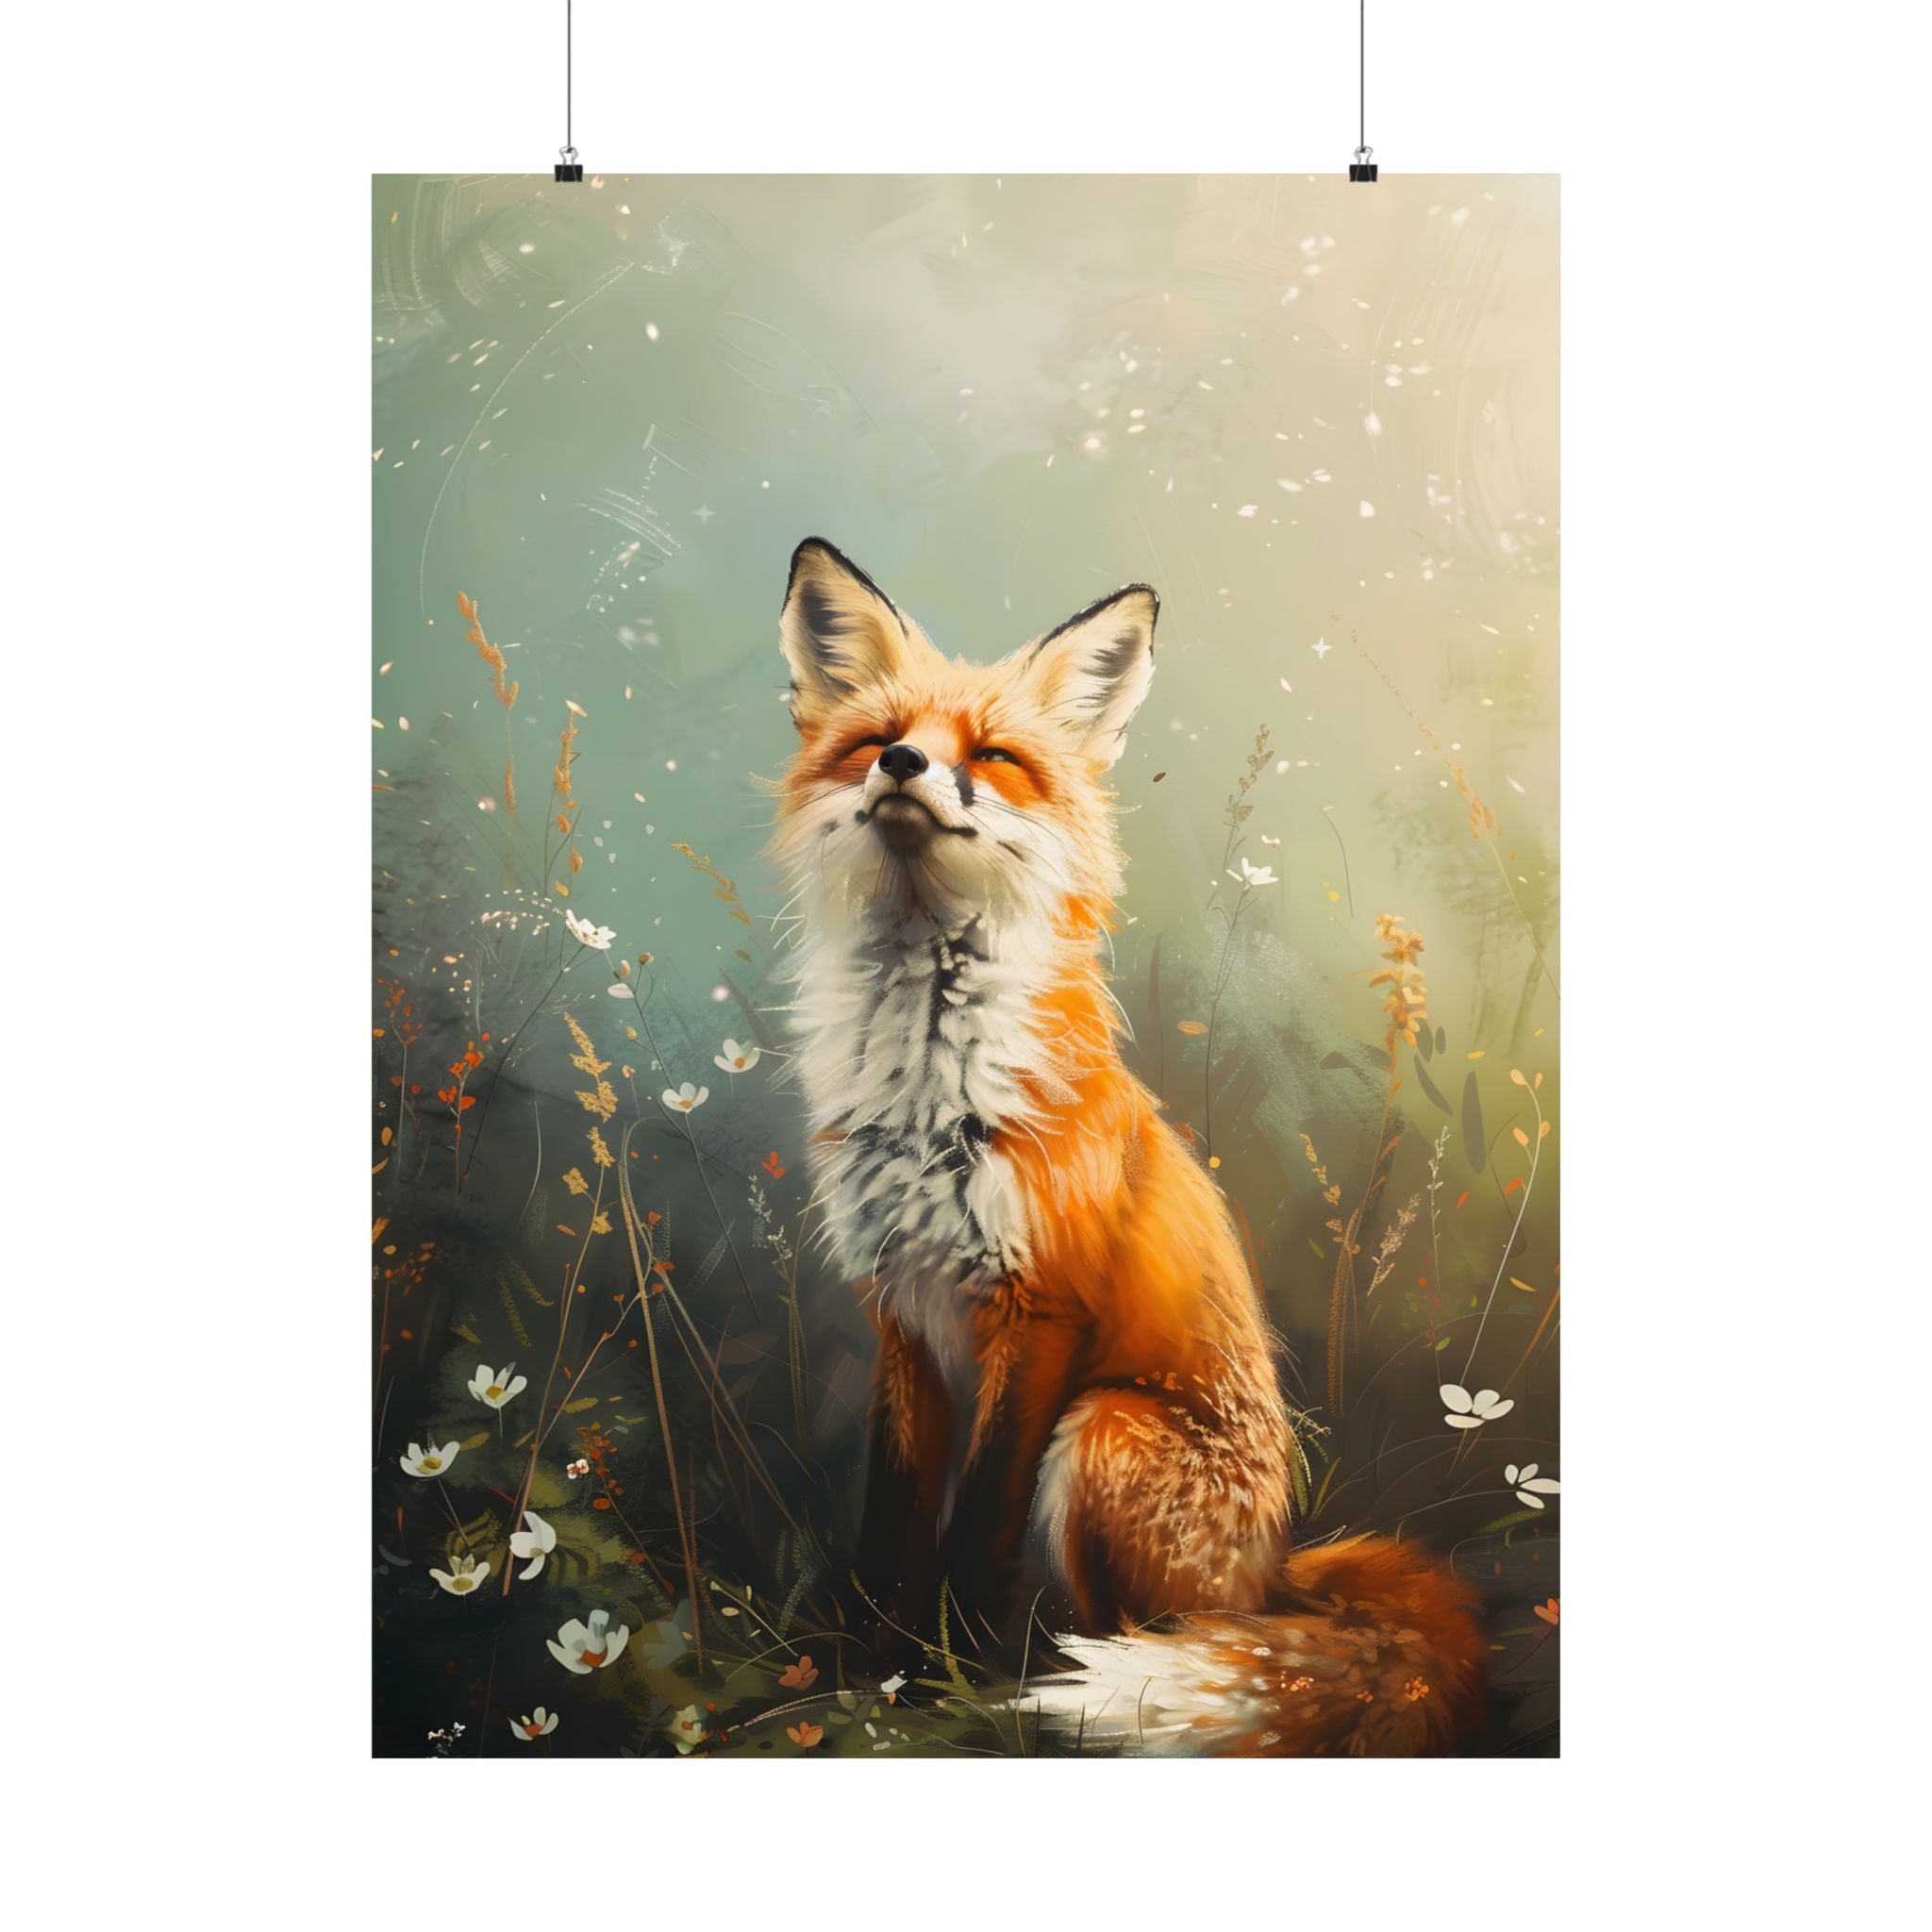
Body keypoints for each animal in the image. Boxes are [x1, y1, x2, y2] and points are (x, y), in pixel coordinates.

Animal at [769, 537, 1485, 1755]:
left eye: (993, 756)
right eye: (877, 739)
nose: (904, 764)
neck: (928, 1078)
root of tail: (1273, 1575)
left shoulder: (1040, 1309)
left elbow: (974, 1530)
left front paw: (943, 1682)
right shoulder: (900, 1309)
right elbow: (891, 1520)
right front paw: (870, 1667)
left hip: (1103, 1429)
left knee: (1156, 1640)